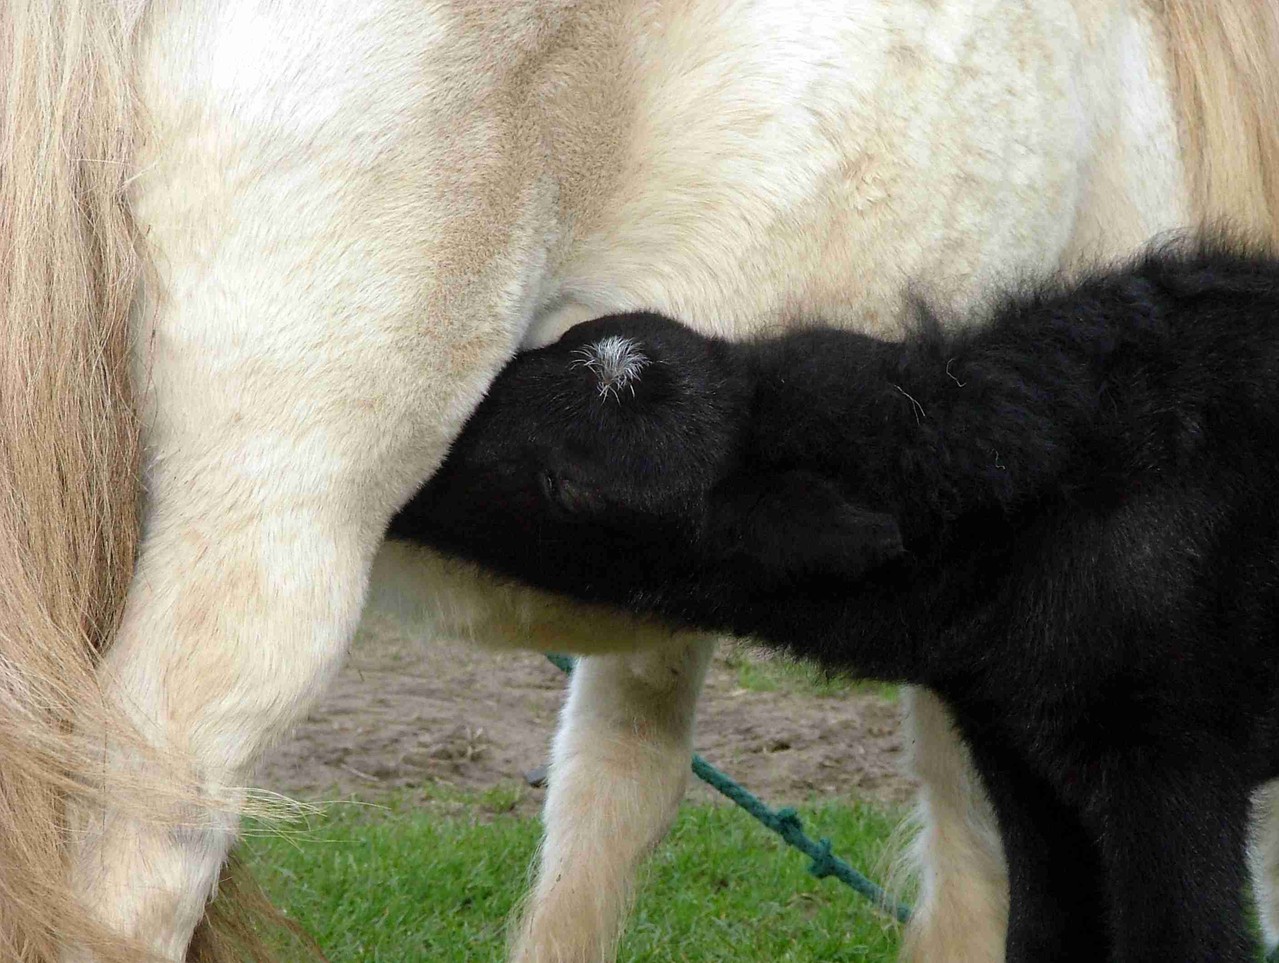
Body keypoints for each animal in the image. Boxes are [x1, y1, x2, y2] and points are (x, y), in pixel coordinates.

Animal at [388, 248, 1279, 961]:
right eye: (541, 348)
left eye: (567, 487)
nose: (410, 479)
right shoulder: (1021, 756)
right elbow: (1044, 932)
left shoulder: (1171, 763)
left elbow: (1186, 941)